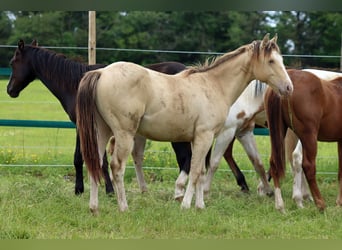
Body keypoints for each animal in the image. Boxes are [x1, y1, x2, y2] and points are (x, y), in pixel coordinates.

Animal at [76, 33, 292, 213]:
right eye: (271, 61)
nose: (289, 87)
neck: (214, 85)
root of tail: (102, 73)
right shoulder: (205, 136)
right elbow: (196, 170)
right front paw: (187, 204)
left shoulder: (203, 139)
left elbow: (202, 171)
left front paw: (200, 205)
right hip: (124, 134)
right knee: (117, 167)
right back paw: (123, 207)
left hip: (102, 131)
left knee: (95, 162)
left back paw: (94, 207)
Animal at [266, 69, 342, 213]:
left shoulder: (340, 140)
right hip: (309, 137)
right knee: (308, 166)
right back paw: (320, 204)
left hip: (279, 132)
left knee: (274, 163)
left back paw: (280, 206)